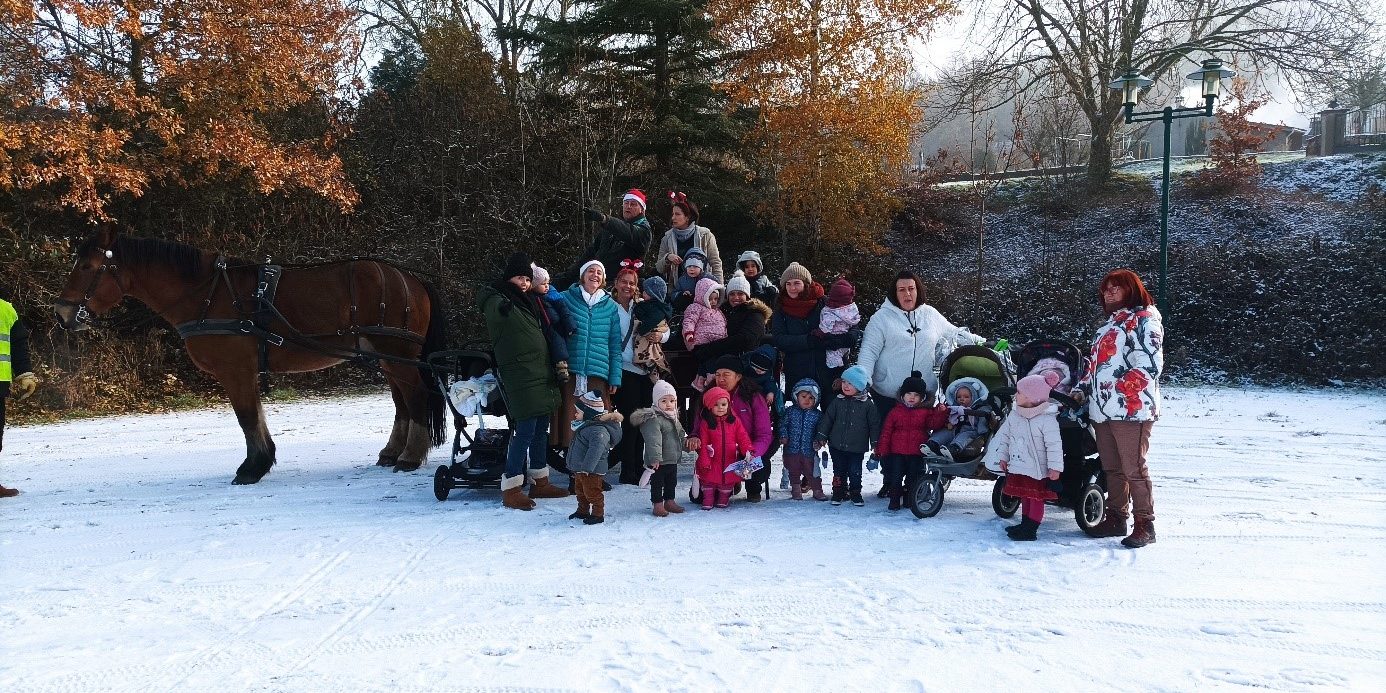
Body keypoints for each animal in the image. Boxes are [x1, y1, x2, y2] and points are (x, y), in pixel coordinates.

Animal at [52, 227, 443, 482]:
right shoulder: (244, 371)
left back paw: (410, 457)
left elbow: (247, 418)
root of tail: (412, 280)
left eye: (86, 267)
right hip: (388, 359)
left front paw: (253, 467)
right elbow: (255, 415)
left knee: (417, 398)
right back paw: (393, 452)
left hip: (397, 356)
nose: (61, 313)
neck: (206, 294)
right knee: (402, 403)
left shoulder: (235, 370)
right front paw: (262, 460)